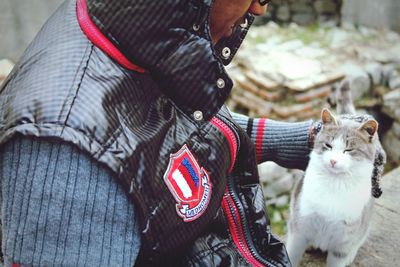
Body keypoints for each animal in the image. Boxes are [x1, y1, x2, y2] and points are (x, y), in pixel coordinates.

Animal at [286, 81, 382, 267]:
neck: (334, 184)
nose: (333, 161)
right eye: (328, 145)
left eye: (349, 150)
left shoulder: (342, 244)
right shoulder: (299, 229)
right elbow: (291, 254)